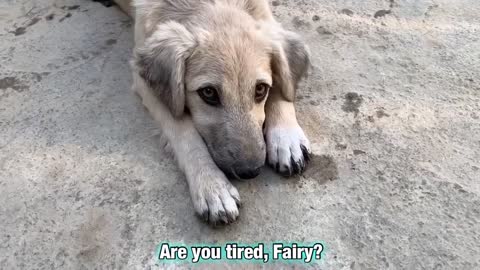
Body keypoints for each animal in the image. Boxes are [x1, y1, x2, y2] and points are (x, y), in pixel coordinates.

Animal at [131, 0, 312, 224]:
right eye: (208, 93)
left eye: (261, 89)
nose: (250, 171)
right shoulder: (144, 83)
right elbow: (184, 132)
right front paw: (212, 185)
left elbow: (283, 85)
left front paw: (286, 138)